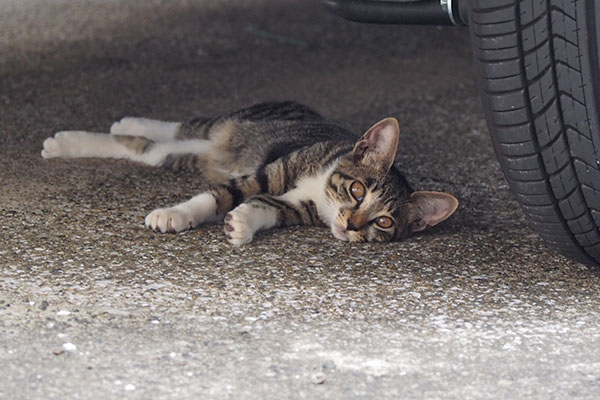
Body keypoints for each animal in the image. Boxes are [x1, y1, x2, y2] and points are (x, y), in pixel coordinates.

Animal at [39, 101, 458, 244]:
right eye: (357, 190)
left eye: (384, 222)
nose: (352, 225)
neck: (321, 188)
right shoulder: (270, 173)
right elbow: (221, 194)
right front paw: (175, 215)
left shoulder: (299, 208)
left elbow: (267, 207)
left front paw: (242, 223)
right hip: (232, 124)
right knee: (176, 128)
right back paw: (82, 137)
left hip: (191, 155)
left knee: (152, 149)